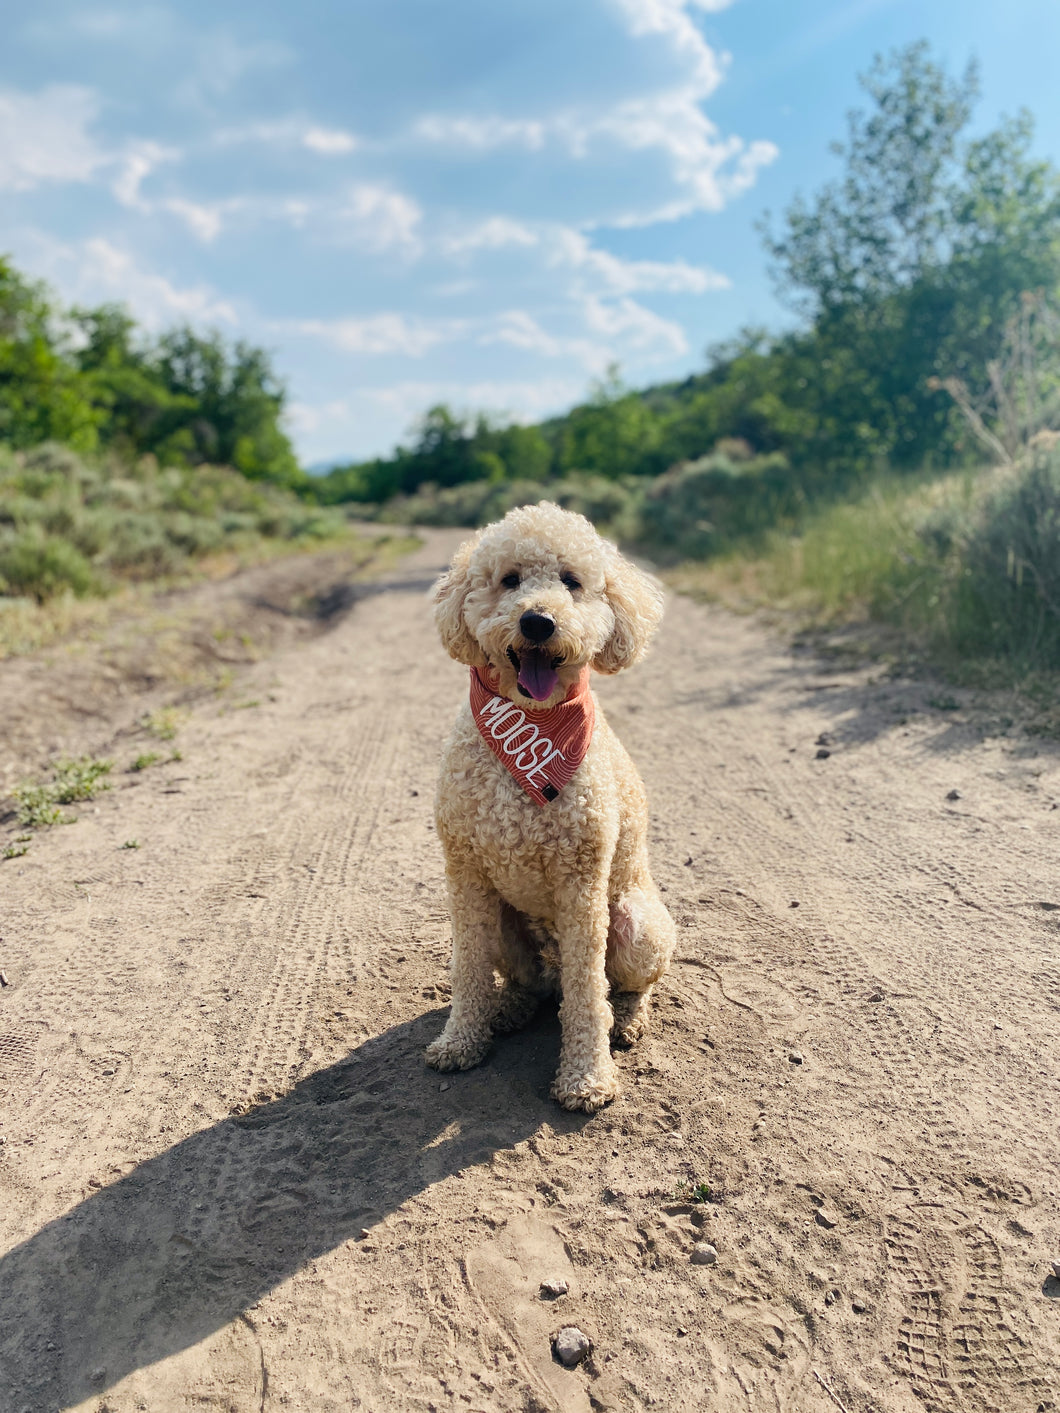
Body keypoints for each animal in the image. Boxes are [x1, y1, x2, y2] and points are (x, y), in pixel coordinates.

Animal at [421, 503, 672, 1107]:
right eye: (510, 580)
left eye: (572, 582)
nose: (538, 622)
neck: (532, 726)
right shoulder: (464, 871)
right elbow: (466, 968)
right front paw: (460, 1041)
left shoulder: (581, 882)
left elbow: (587, 992)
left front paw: (587, 1076)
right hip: (506, 924)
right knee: (530, 982)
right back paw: (507, 1010)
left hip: (636, 925)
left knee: (621, 985)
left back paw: (626, 1022)